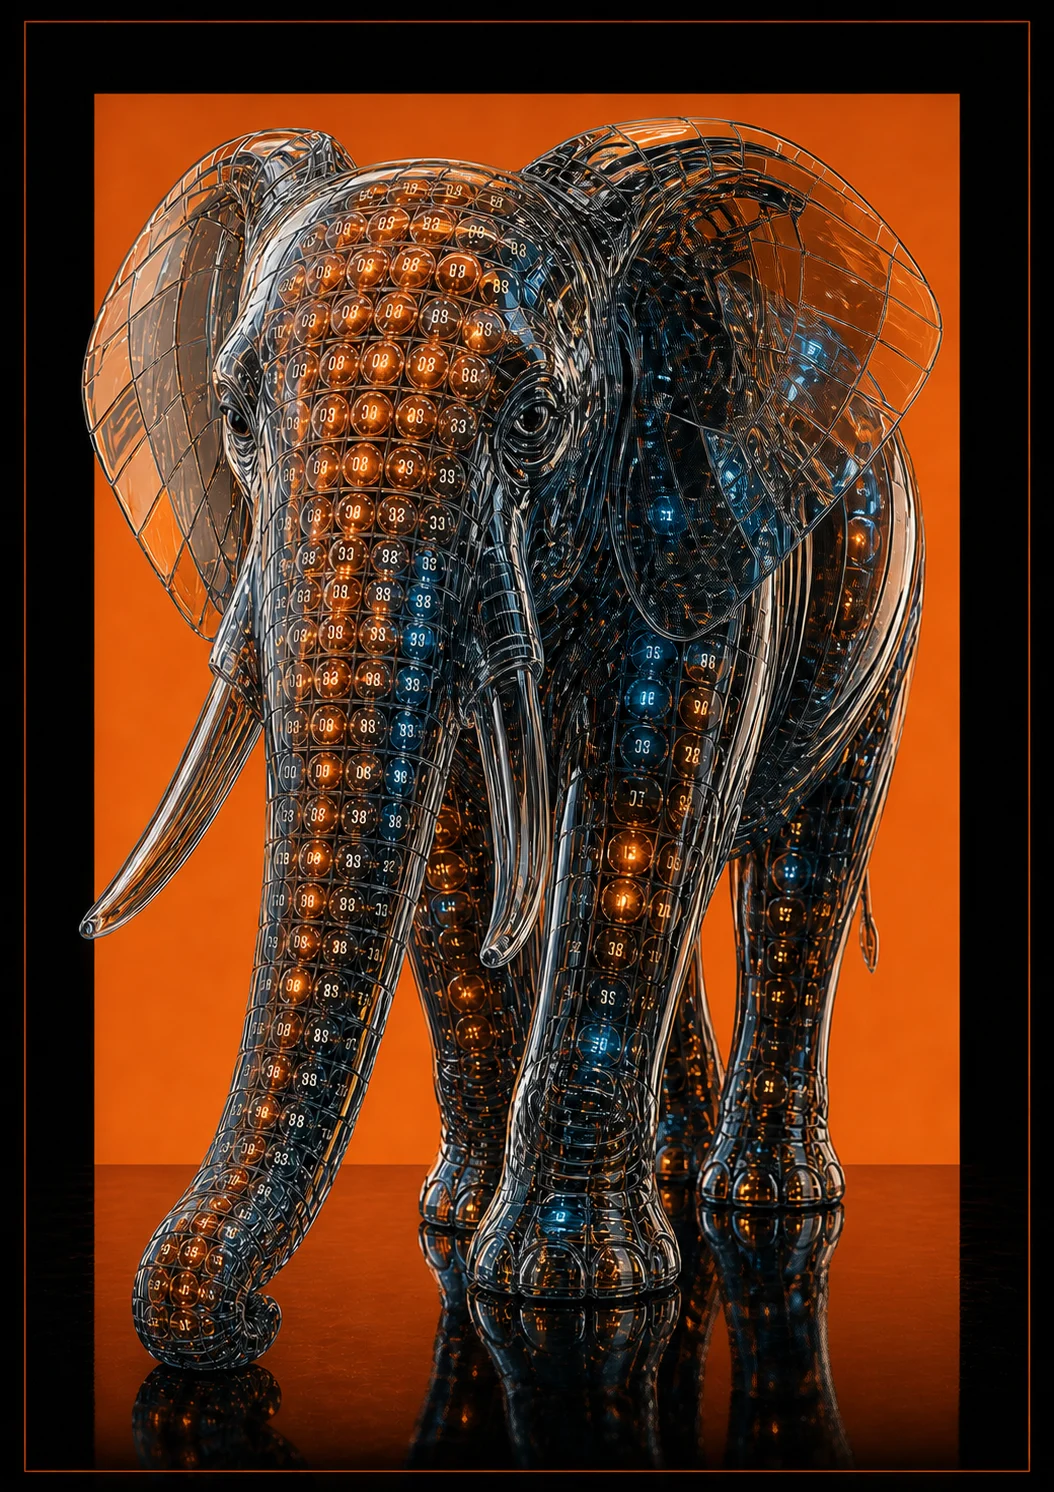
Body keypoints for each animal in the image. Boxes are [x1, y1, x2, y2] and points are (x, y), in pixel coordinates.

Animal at [83, 118, 940, 1372]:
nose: (246, 1324)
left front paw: (572, 1289)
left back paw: (762, 1198)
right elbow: (455, 849)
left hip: (884, 587)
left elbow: (648, 796)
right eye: (236, 418)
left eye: (535, 420)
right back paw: (673, 1172)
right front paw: (457, 1222)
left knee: (796, 853)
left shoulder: (689, 509)